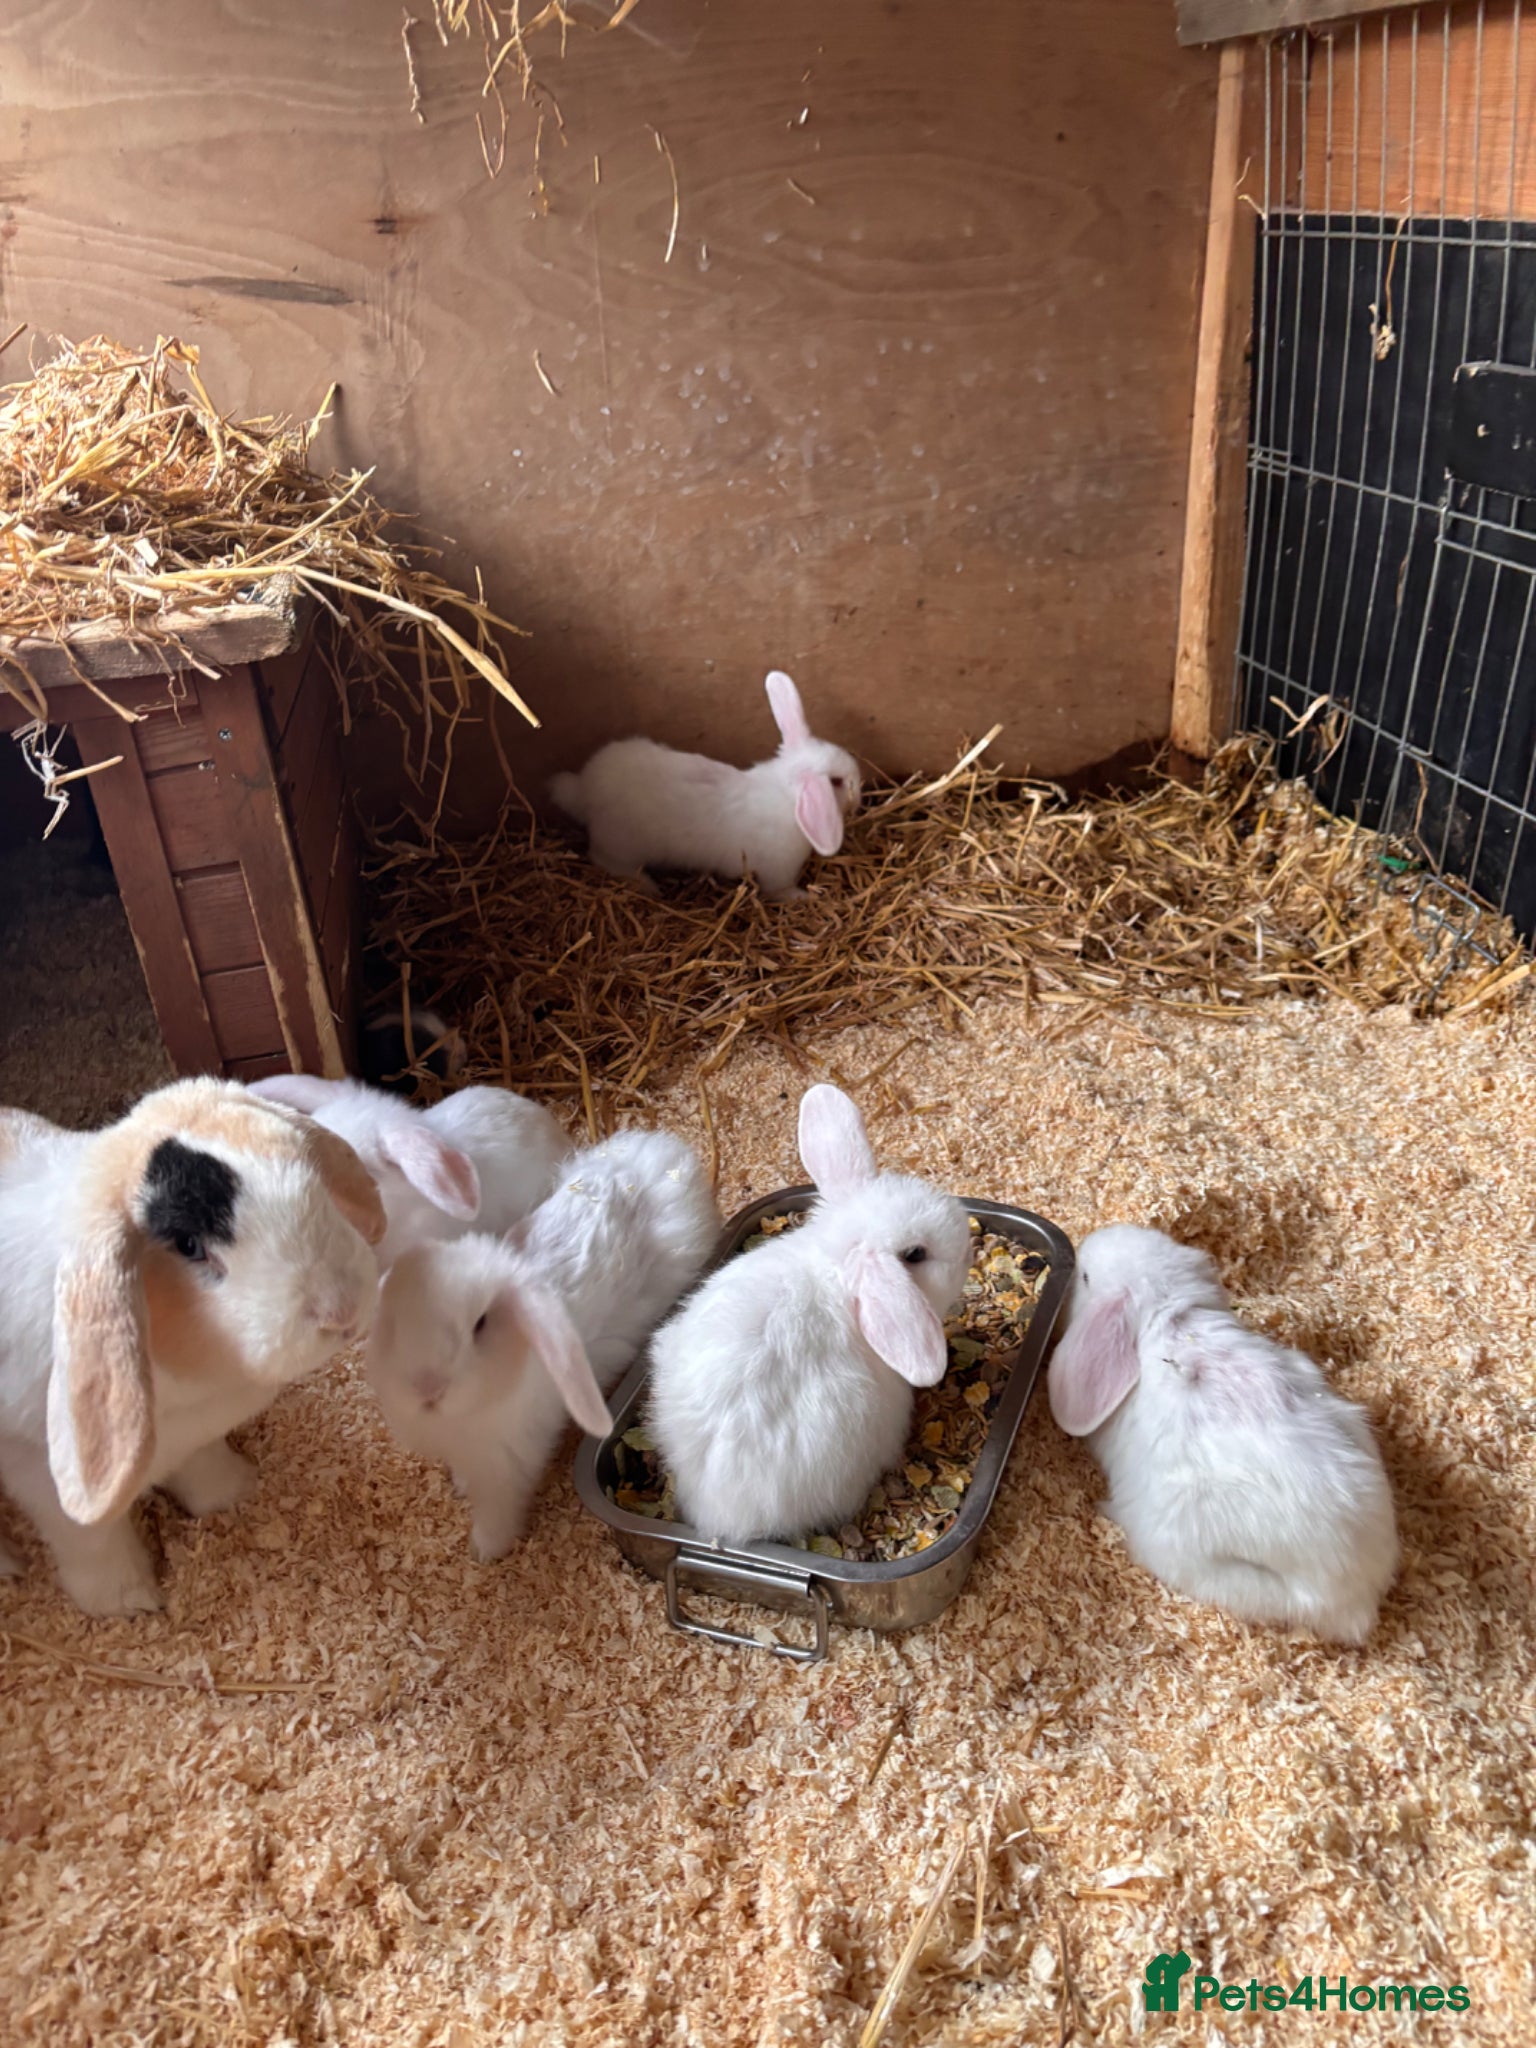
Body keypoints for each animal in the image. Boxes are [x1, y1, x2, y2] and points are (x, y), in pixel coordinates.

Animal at [0, 1079, 384, 1615]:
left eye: (308, 1174)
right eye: (188, 1246)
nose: (342, 1311)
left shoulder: (196, 1438)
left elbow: (203, 1468)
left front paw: (236, 1491)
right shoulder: (36, 1472)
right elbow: (93, 1540)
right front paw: (130, 1603)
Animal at [367, 1128, 721, 1559]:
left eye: (480, 1324)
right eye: (391, 1322)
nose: (426, 1388)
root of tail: (667, 1149)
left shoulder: (506, 1465)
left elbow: (497, 1510)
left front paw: (484, 1552)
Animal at [548, 670, 861, 900]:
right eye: (836, 782)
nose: (859, 788)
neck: (786, 796)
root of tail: (583, 790)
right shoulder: (777, 873)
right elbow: (780, 891)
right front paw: (805, 898)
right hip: (621, 845)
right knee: (604, 859)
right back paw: (648, 885)